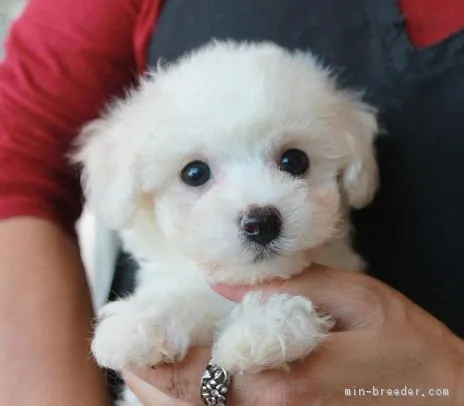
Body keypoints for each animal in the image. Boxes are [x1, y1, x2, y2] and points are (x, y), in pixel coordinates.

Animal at [71, 39, 376, 404]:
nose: (261, 222)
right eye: (194, 173)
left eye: (295, 160)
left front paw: (264, 328)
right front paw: (141, 322)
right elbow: (184, 296)